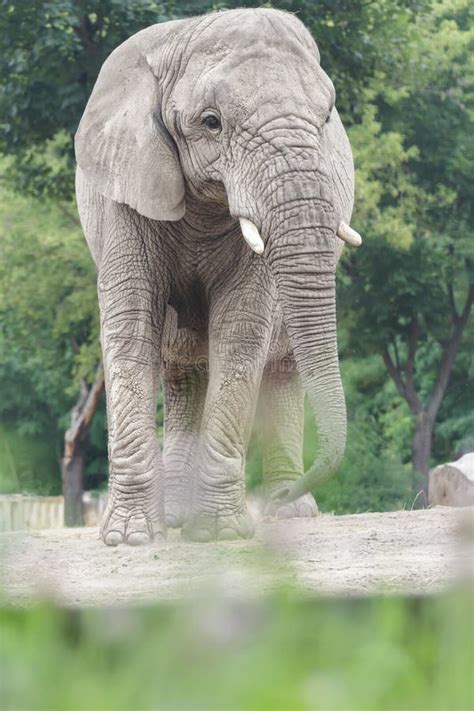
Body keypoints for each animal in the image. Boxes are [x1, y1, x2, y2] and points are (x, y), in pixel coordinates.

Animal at [76, 8, 362, 548]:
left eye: (326, 117)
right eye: (211, 123)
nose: (273, 500)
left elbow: (242, 330)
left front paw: (220, 534)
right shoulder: (124, 193)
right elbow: (130, 329)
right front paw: (129, 537)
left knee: (281, 366)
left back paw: (287, 513)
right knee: (182, 372)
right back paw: (177, 518)